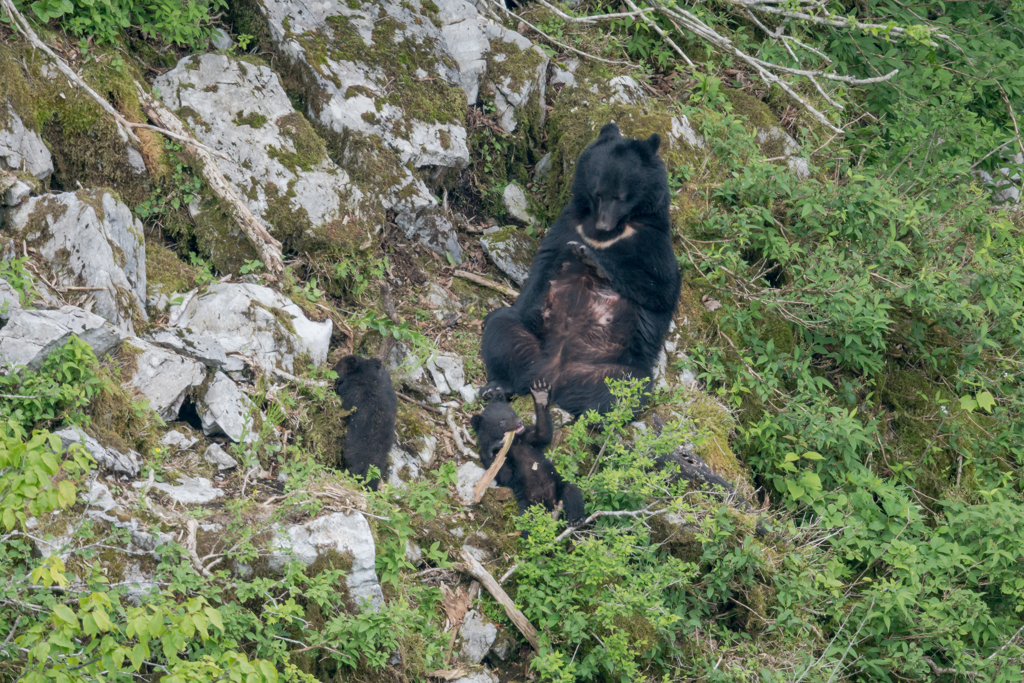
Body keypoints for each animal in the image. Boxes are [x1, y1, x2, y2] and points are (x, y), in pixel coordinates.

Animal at [468, 376, 585, 528]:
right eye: (502, 422)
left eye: (511, 412)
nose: (519, 422)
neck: (515, 443)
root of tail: (550, 503)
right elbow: (504, 474)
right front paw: (493, 449)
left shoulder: (527, 437)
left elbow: (543, 434)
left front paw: (541, 394)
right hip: (528, 503)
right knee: (528, 520)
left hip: (558, 483)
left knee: (572, 492)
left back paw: (577, 520)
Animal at [479, 120, 679, 413]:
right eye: (598, 194)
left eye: (621, 196)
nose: (603, 224)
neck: (608, 233)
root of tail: (553, 376)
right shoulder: (569, 223)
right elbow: (543, 264)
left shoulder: (651, 239)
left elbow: (662, 288)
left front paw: (592, 258)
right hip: (529, 345)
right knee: (500, 327)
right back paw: (497, 386)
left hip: (620, 369)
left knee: (626, 388)